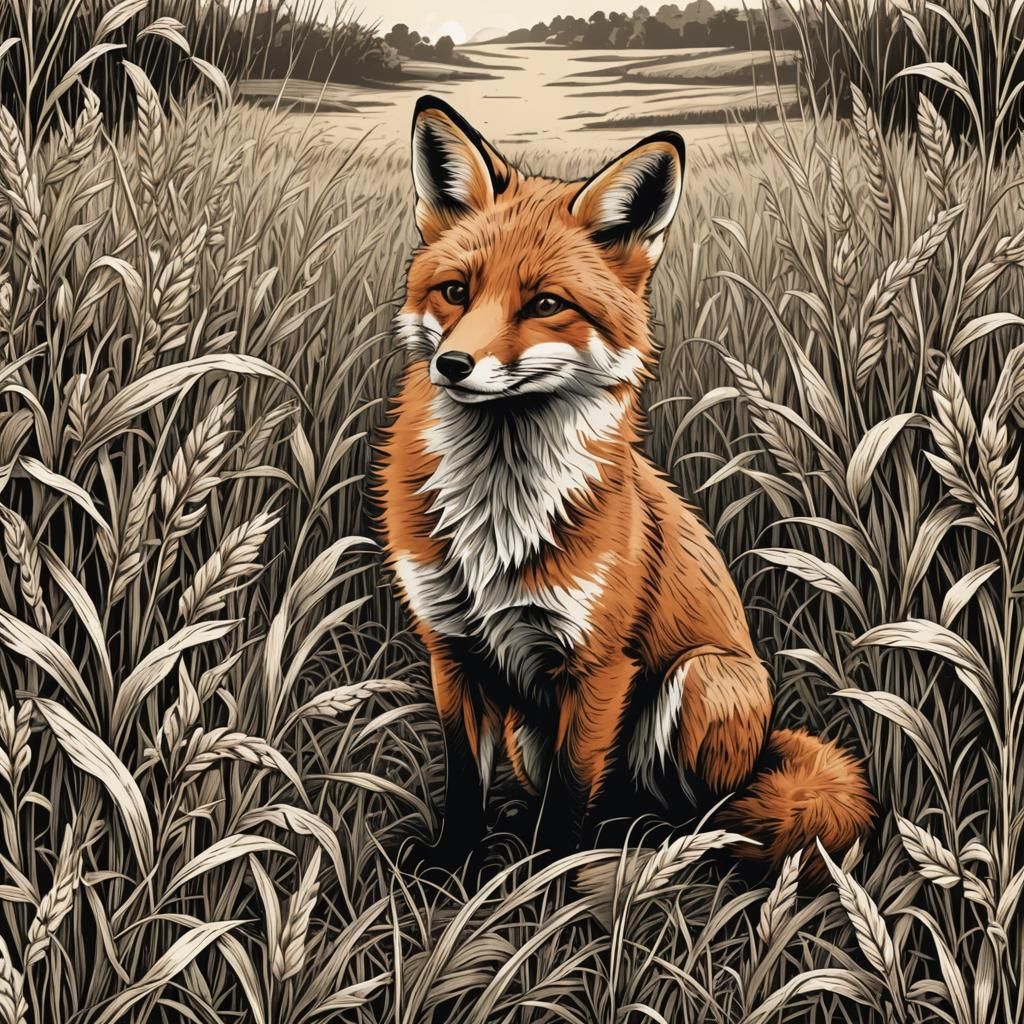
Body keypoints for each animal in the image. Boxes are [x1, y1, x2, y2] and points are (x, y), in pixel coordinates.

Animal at [376, 95, 873, 884]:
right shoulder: (451, 650)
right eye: (455, 292)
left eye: (546, 303)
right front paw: (452, 870)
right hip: (527, 732)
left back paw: (653, 849)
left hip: (702, 682)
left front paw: (544, 892)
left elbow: (569, 800)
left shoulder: (599, 667)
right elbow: (463, 784)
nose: (452, 365)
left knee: (696, 813)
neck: (496, 514)